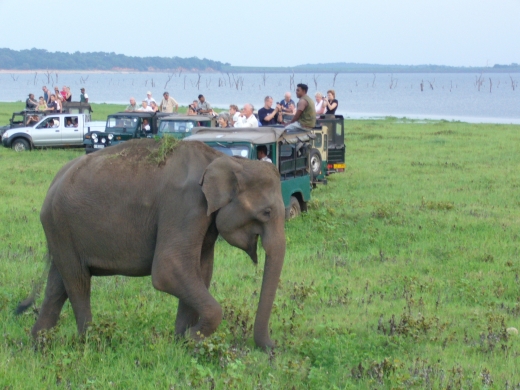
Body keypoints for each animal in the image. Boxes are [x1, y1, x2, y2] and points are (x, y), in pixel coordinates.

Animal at [16, 140, 286, 350]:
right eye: (266, 212)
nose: (273, 347)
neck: (222, 158)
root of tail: (54, 182)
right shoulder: (185, 204)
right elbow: (169, 269)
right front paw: (193, 338)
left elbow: (201, 272)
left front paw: (182, 344)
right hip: (61, 223)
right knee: (78, 282)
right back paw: (91, 341)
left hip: (60, 232)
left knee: (57, 285)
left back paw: (39, 344)